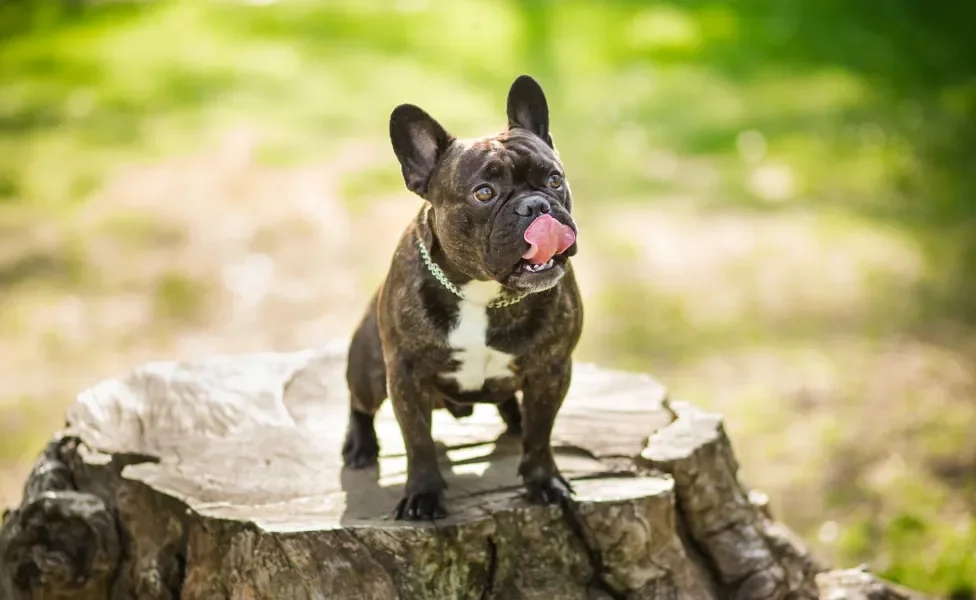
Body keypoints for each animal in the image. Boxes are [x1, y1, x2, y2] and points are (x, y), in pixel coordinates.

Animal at [342, 75, 580, 520]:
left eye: (554, 179)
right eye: (484, 193)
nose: (536, 205)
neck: (484, 294)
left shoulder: (552, 370)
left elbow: (541, 434)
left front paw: (544, 481)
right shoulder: (406, 375)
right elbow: (418, 442)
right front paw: (422, 494)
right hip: (369, 367)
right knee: (360, 403)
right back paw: (359, 445)